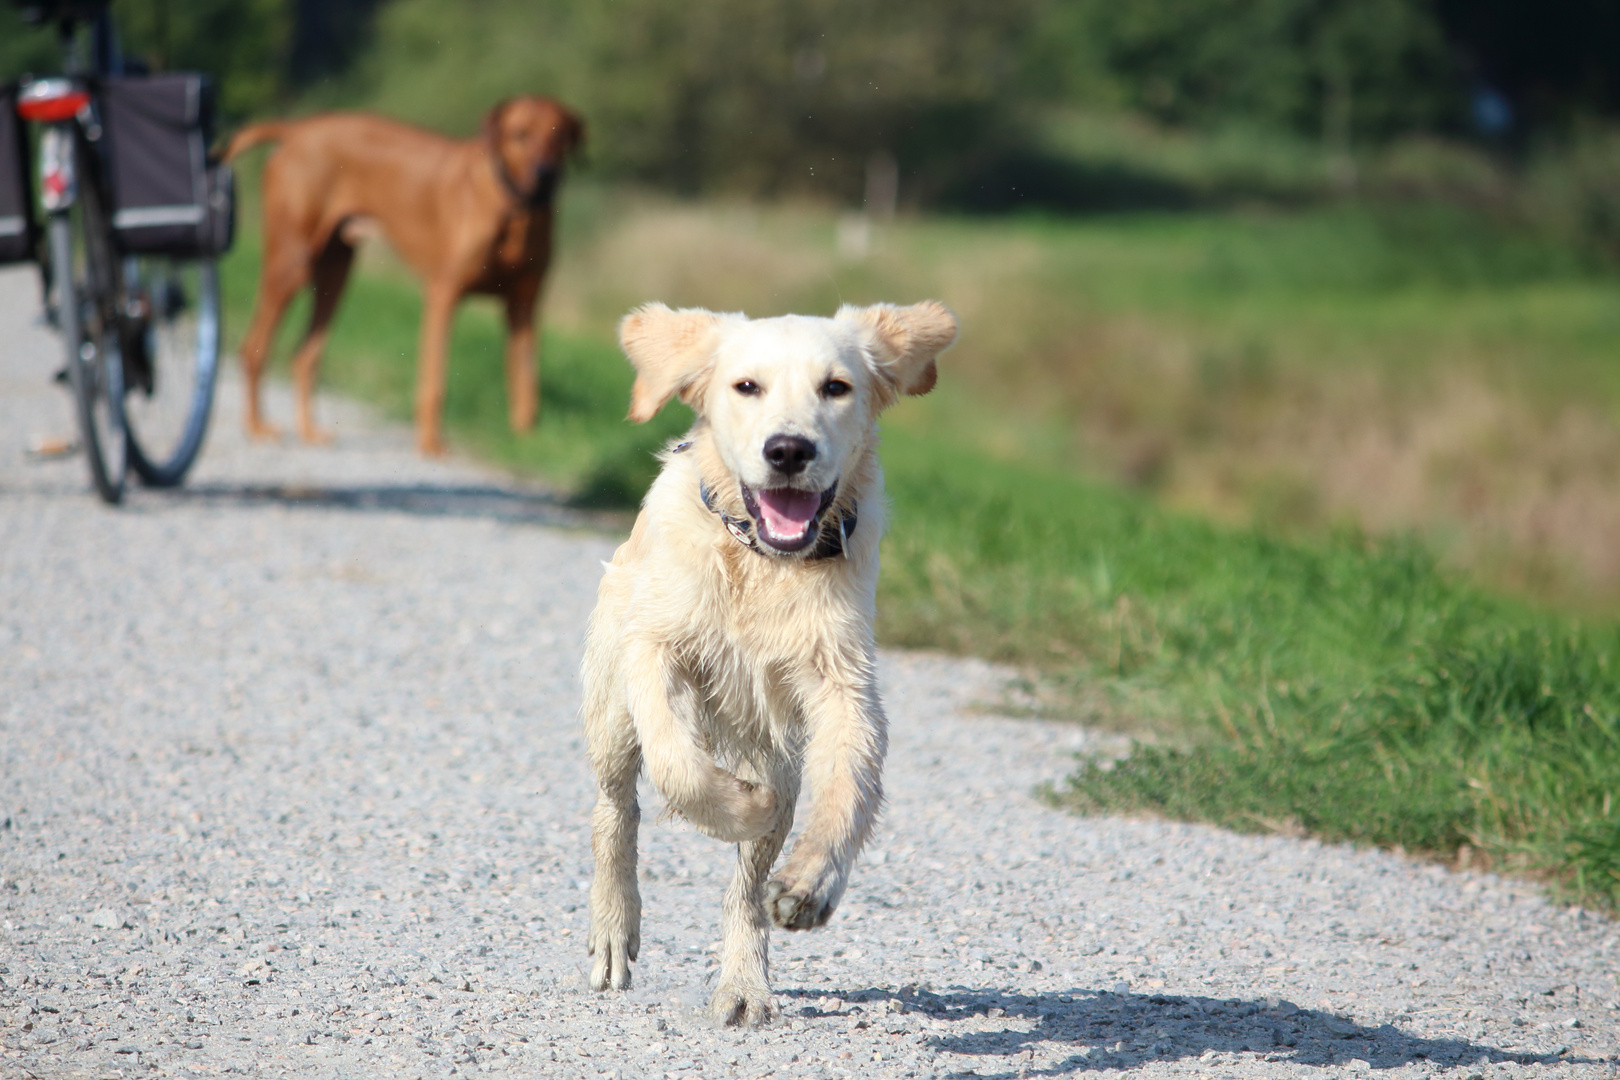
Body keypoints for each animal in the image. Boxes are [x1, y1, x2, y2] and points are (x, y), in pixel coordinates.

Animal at [223, 97, 583, 456]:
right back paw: (256, 427)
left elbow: (526, 384)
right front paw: (431, 444)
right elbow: (435, 380)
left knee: (305, 356)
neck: (517, 211)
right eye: (519, 134)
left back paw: (309, 431)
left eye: (558, 137)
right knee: (253, 349)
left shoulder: (524, 308)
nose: (546, 176)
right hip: (292, 263)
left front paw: (528, 445)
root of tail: (297, 129)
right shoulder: (443, 295)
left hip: (335, 274)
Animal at [586, 299, 952, 1029]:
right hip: (610, 705)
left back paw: (743, 985)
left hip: (776, 747)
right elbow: (679, 764)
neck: (762, 561)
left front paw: (812, 883)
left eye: (836, 387)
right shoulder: (654, 649)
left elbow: (847, 788)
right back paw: (615, 929)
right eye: (746, 386)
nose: (788, 450)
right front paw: (740, 806)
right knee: (616, 810)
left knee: (747, 889)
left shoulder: (844, 682)